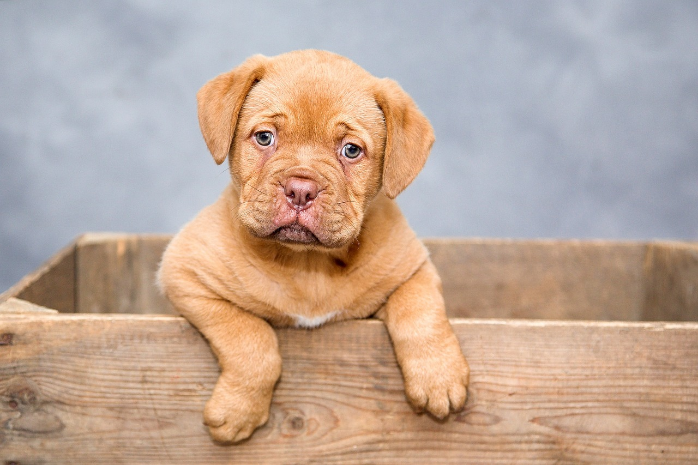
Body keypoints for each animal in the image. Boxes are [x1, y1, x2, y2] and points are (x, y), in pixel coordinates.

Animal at [158, 51, 468, 444]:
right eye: (264, 137)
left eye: (351, 150)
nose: (301, 189)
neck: (308, 264)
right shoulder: (185, 273)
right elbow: (250, 338)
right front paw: (238, 411)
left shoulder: (413, 269)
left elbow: (420, 312)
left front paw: (438, 377)